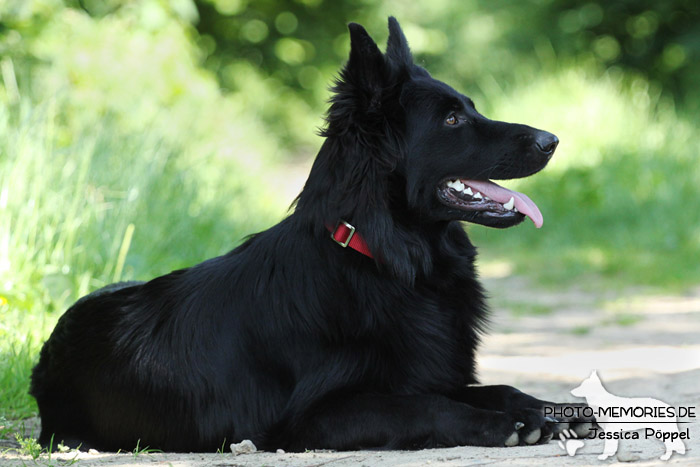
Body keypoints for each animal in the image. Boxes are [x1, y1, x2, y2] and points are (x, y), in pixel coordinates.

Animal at [30, 18, 588, 454]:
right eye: (452, 119)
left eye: (470, 108)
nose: (553, 140)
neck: (380, 258)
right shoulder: (313, 419)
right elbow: (425, 406)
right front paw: (505, 423)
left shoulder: (434, 373)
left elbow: (498, 386)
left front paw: (550, 410)